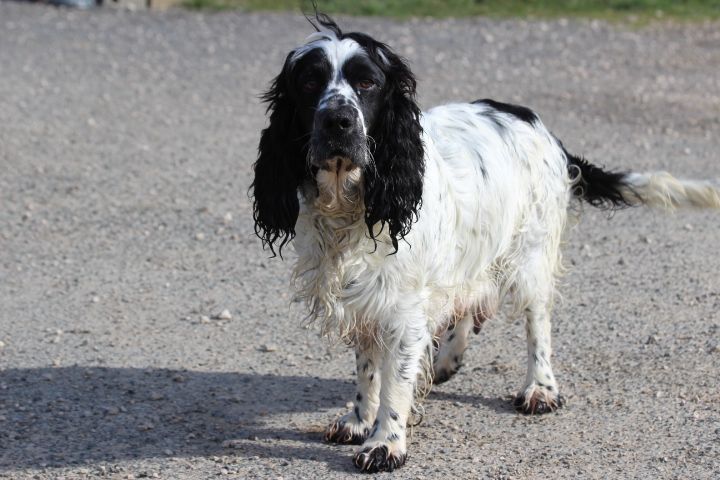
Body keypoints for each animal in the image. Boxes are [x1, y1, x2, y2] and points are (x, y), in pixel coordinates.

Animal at [250, 13, 716, 474]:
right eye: (310, 82)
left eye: (367, 83)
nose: (338, 122)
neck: (351, 202)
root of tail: (540, 127)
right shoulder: (366, 296)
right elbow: (368, 367)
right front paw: (361, 419)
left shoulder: (402, 304)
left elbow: (396, 380)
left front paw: (386, 443)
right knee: (469, 304)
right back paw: (446, 360)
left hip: (531, 254)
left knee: (537, 322)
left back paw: (540, 387)